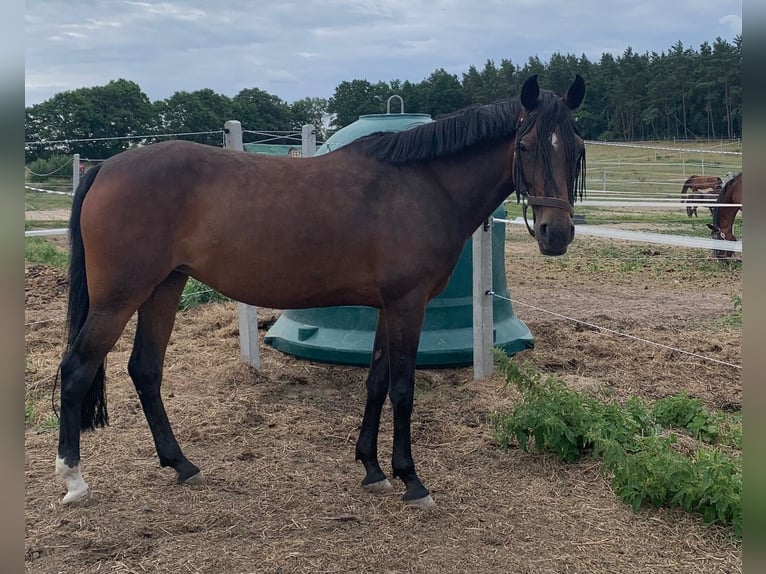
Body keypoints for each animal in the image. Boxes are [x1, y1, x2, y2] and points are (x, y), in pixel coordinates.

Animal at [55, 74, 586, 509]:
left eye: (576, 147)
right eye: (526, 145)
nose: (556, 233)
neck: (423, 184)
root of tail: (105, 168)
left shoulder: (387, 306)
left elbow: (376, 382)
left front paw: (372, 468)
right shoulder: (407, 304)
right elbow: (403, 388)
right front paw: (412, 480)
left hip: (164, 287)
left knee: (145, 369)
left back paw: (181, 464)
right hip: (118, 298)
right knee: (77, 368)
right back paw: (74, 480)